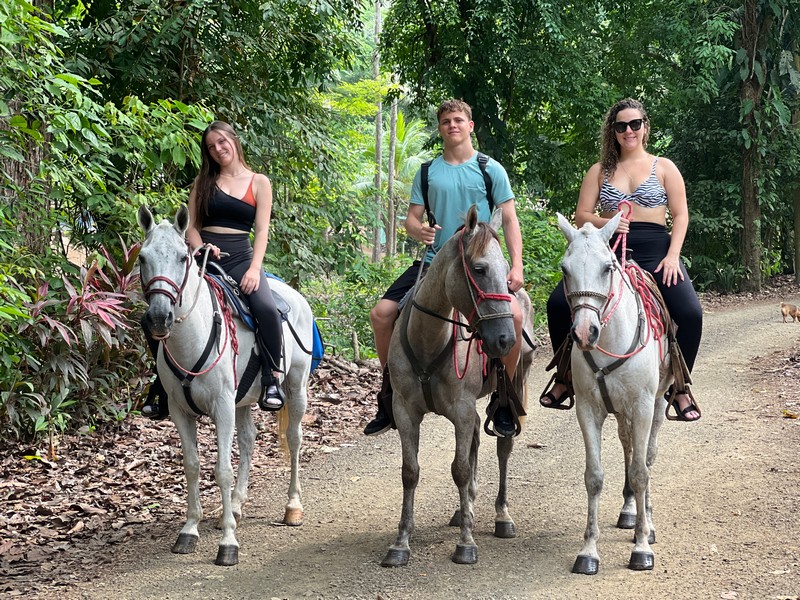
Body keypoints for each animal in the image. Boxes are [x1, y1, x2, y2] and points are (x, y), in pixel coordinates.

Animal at [138, 206, 312, 568]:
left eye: (183, 258)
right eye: (143, 258)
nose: (159, 318)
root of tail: (295, 297)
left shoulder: (222, 406)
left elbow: (222, 470)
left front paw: (228, 543)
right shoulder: (180, 411)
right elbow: (192, 466)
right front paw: (190, 529)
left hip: (295, 387)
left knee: (294, 439)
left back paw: (292, 507)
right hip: (243, 401)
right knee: (248, 441)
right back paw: (235, 506)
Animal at [382, 206, 536, 568]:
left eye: (505, 269)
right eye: (479, 269)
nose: (504, 339)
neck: (429, 339)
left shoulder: (462, 410)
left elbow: (461, 469)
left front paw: (466, 543)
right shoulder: (405, 412)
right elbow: (410, 472)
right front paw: (401, 542)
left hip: (516, 386)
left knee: (503, 446)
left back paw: (501, 516)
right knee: (478, 434)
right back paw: (465, 508)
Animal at [556, 213, 676, 576]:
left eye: (607, 268)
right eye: (565, 269)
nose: (584, 332)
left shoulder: (642, 406)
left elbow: (640, 473)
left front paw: (641, 548)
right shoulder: (588, 410)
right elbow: (594, 477)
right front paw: (588, 552)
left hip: (657, 405)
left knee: (646, 456)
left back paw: (646, 523)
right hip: (622, 412)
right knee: (627, 446)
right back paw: (629, 512)